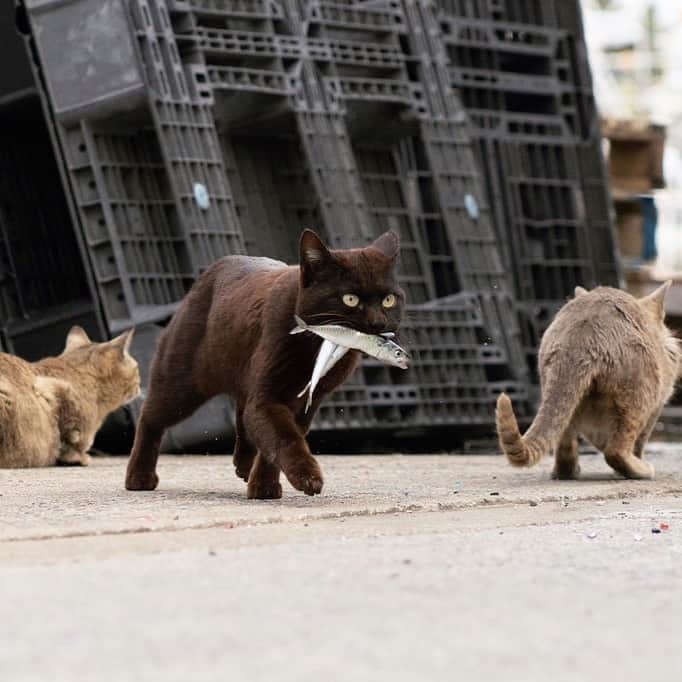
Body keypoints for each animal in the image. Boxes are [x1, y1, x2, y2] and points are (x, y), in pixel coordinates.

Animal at [125, 228, 402, 494]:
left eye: (389, 299)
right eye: (350, 299)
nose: (378, 322)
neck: (313, 343)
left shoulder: (308, 401)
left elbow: (274, 437)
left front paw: (263, 486)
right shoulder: (268, 397)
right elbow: (283, 436)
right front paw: (306, 477)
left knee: (243, 415)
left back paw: (243, 465)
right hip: (181, 382)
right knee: (150, 417)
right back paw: (139, 476)